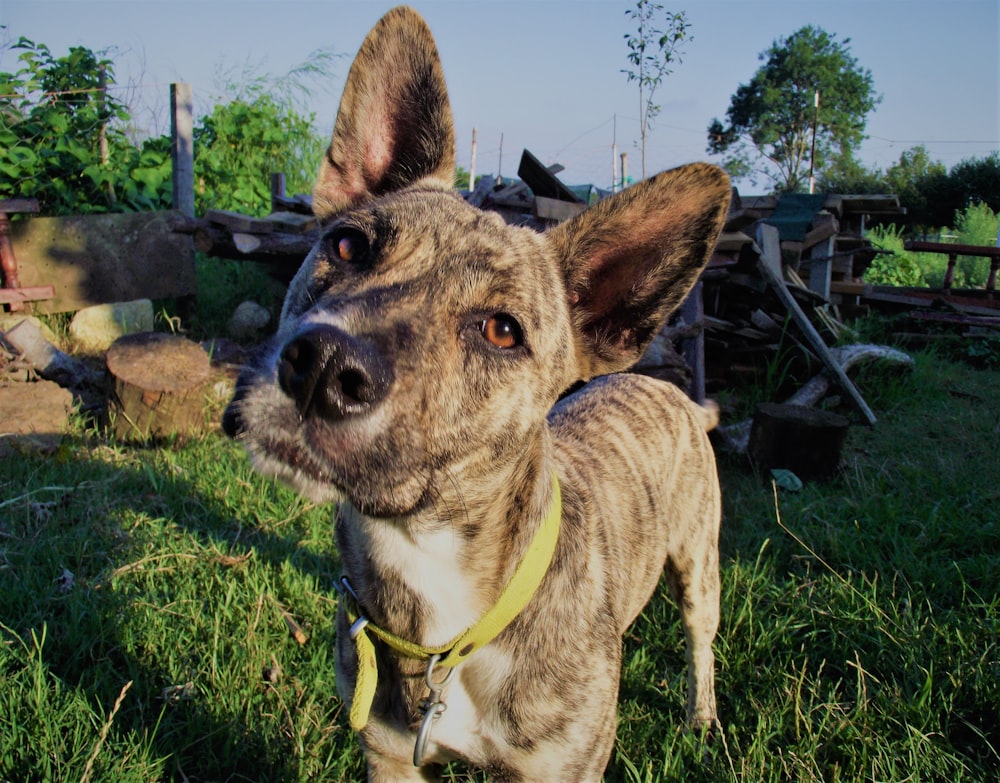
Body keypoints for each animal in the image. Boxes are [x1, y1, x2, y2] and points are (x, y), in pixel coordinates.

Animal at [225, 6, 728, 783]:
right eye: (347, 246)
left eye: (503, 330)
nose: (323, 367)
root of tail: (665, 388)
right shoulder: (390, 757)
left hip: (700, 567)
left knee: (701, 643)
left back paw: (701, 716)